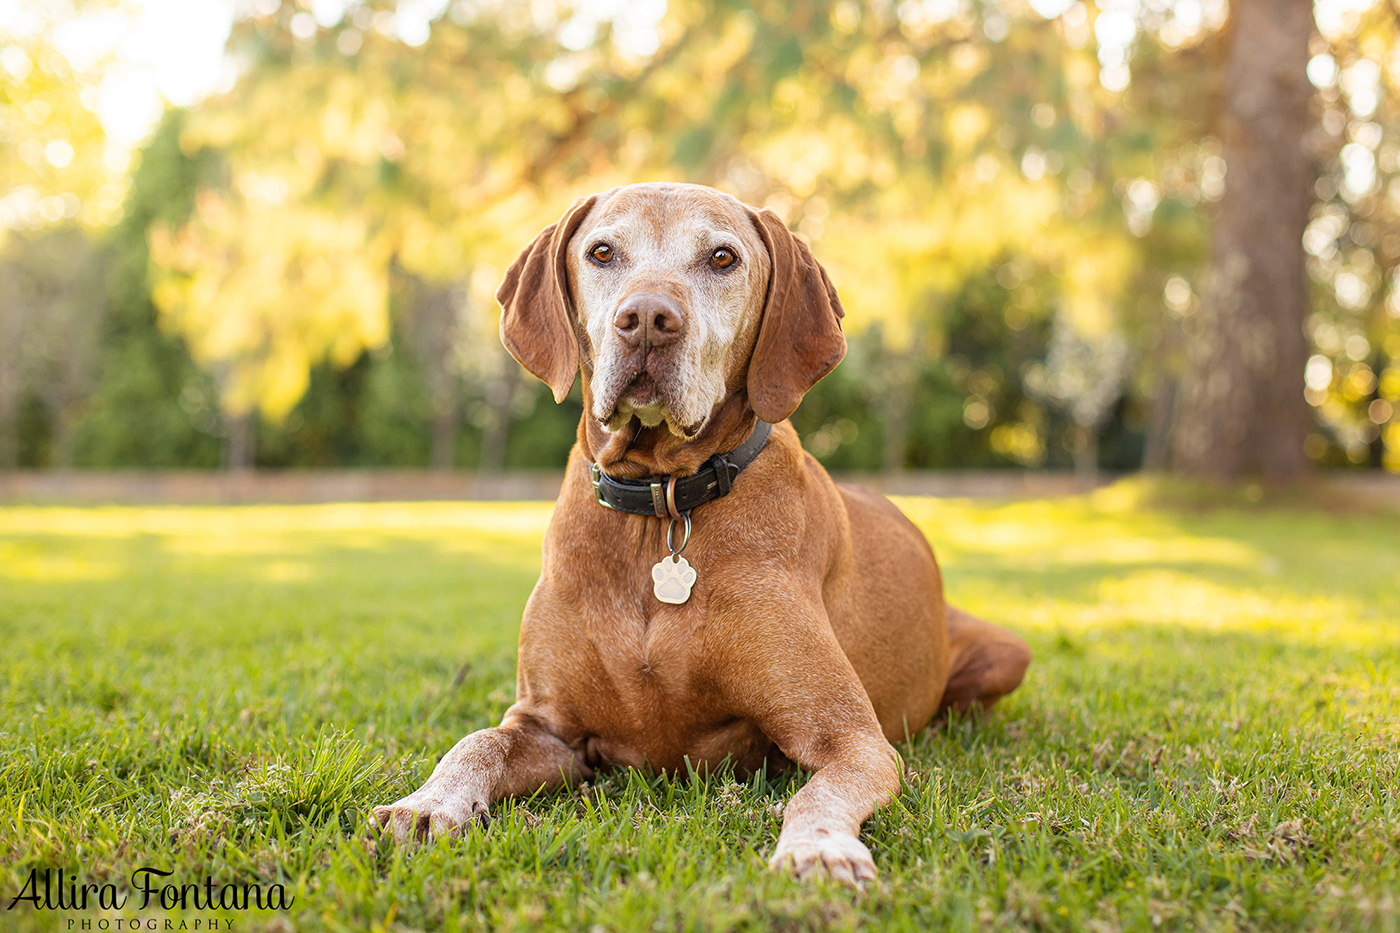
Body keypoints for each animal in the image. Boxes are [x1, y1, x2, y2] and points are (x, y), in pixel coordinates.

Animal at [372, 179, 1030, 879]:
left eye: (722, 258)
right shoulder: (546, 727)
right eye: (602, 252)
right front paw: (426, 804)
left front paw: (819, 846)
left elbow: (817, 791)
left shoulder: (851, 739)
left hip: (1007, 653)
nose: (646, 319)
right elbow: (477, 742)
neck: (660, 510)